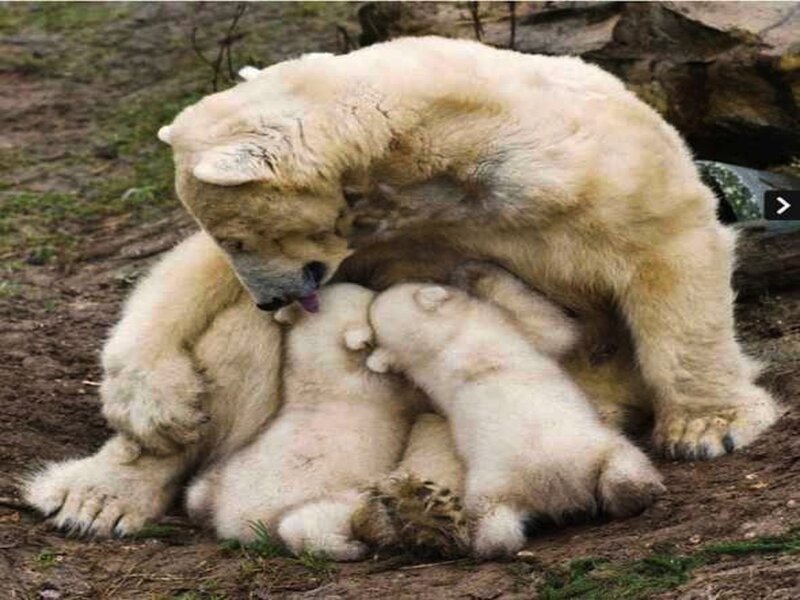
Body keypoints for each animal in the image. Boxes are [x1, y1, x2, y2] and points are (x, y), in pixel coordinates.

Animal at [364, 281, 665, 558]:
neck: (442, 344)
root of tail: (554, 485)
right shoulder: (503, 324)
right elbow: (554, 328)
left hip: (495, 486)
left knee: (495, 524)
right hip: (587, 450)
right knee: (624, 460)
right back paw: (639, 492)